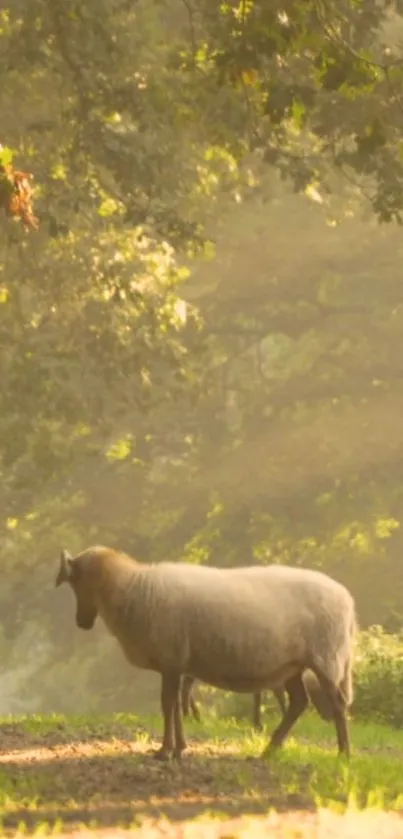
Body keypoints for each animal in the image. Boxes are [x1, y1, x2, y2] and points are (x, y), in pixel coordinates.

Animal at [181, 672, 332, 732]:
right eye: (323, 696)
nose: (328, 719)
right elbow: (279, 697)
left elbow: (258, 696)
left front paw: (257, 724)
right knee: (186, 687)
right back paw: (189, 716)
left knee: (186, 686)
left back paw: (194, 717)